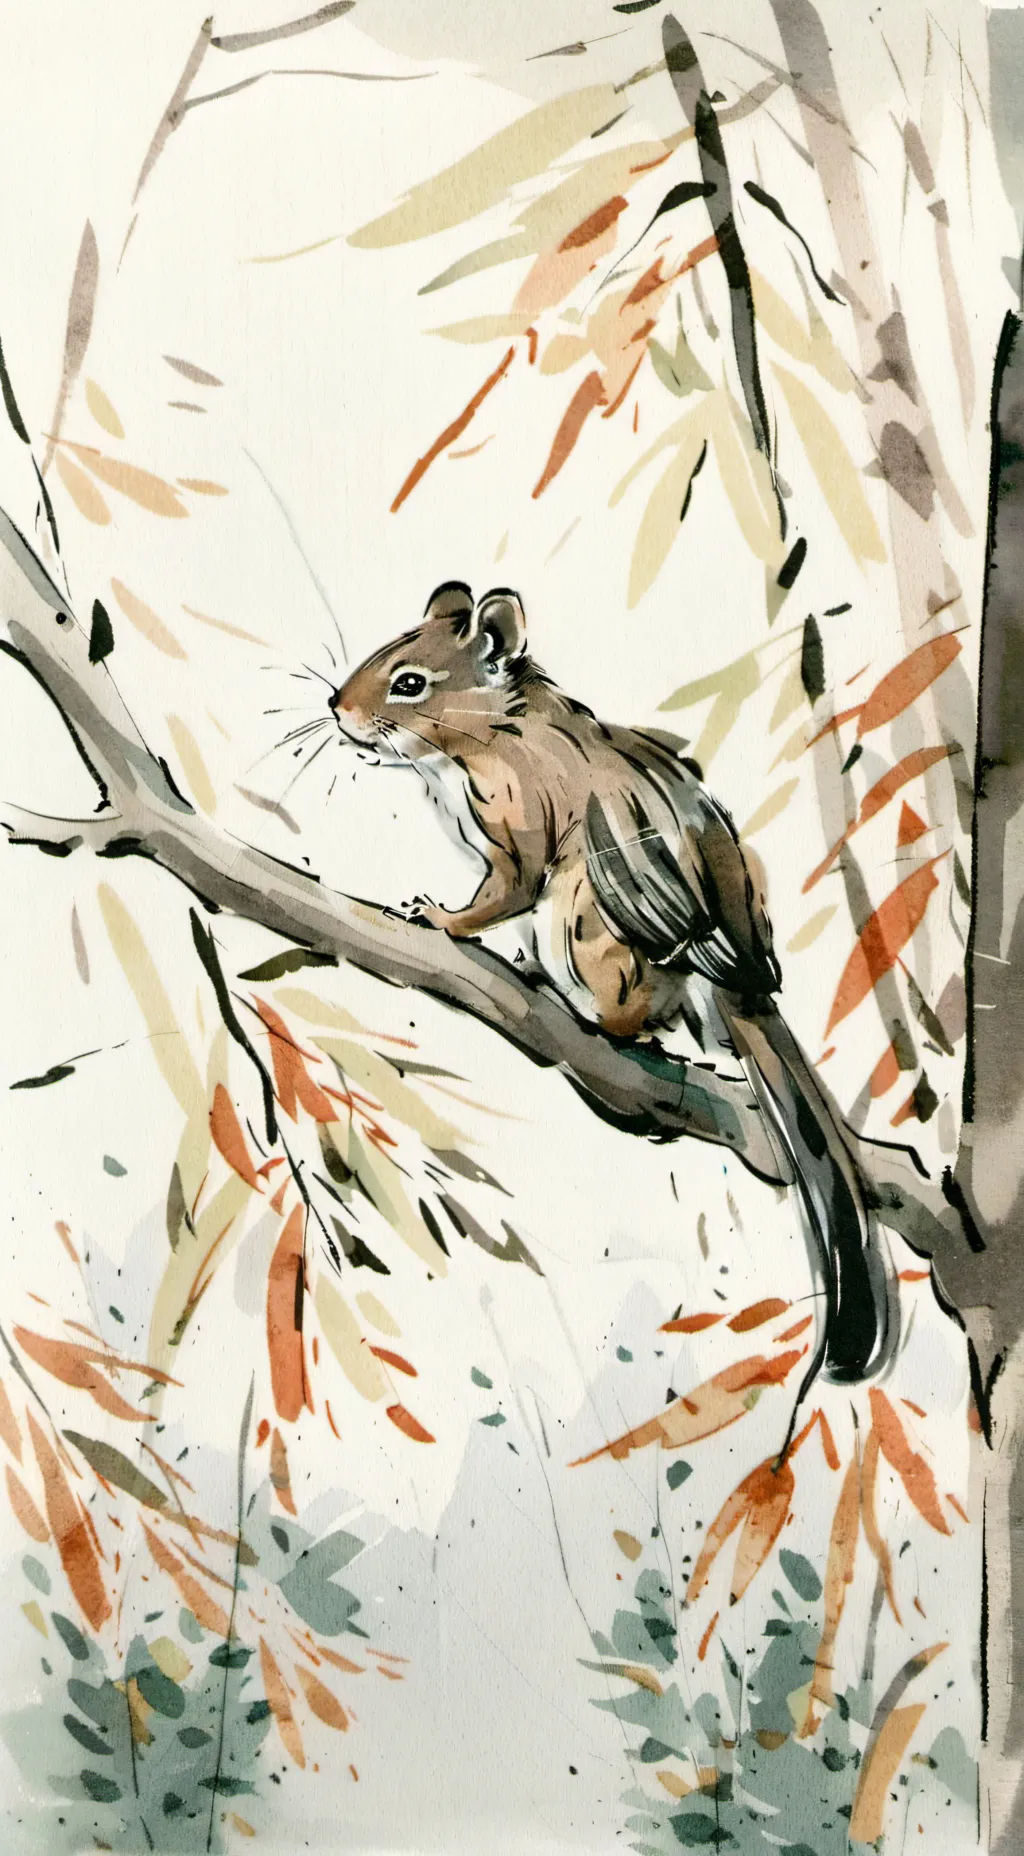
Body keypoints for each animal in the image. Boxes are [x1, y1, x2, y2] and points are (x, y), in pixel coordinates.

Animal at [330, 579, 893, 1393]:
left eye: (409, 682)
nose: (337, 708)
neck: (498, 726)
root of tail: (742, 983)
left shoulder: (518, 829)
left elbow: (496, 893)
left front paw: (437, 916)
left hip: (583, 920)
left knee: (628, 1010)